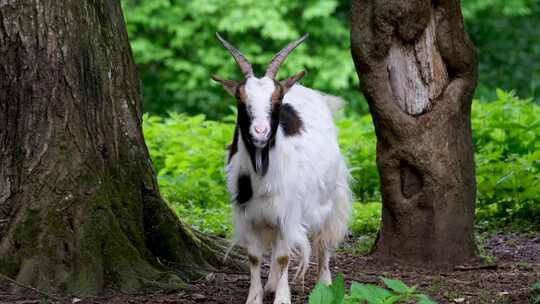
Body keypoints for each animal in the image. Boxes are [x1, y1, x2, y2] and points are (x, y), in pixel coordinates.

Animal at [213, 32, 352, 304]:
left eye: (277, 100)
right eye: (240, 99)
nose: (260, 132)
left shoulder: (290, 214)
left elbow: (284, 256)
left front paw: (282, 298)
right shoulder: (249, 216)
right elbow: (256, 257)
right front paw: (256, 296)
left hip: (330, 198)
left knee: (323, 240)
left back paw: (326, 282)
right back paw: (271, 284)